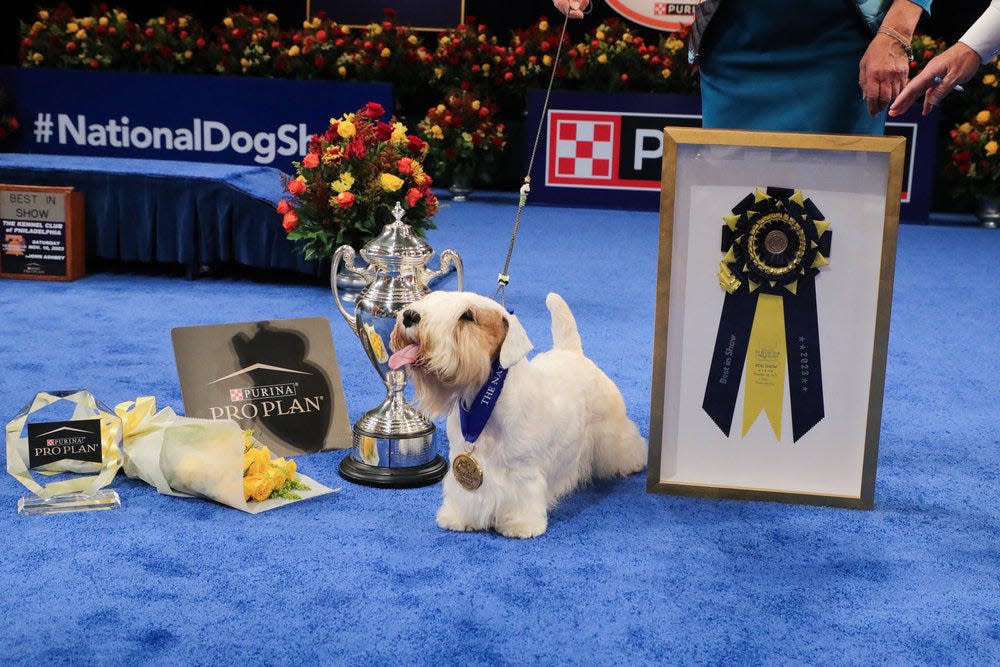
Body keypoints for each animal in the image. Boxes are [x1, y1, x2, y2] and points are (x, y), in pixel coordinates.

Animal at [386, 290, 644, 536]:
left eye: (467, 316)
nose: (409, 316)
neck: (484, 401)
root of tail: (572, 352)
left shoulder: (522, 470)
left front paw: (521, 525)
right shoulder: (461, 457)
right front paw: (459, 518)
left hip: (611, 431)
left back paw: (634, 463)